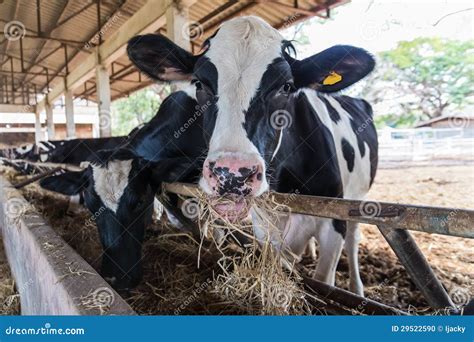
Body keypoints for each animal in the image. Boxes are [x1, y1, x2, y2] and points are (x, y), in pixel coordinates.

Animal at [127, 16, 378, 296]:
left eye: (286, 86)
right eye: (200, 84)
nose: (232, 174)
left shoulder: (333, 222)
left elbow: (325, 279)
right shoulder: (265, 223)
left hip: (357, 197)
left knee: (354, 238)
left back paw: (357, 288)